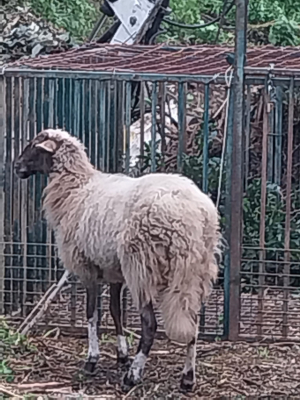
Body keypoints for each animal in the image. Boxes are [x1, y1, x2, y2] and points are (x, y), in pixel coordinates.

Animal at [14, 130, 220, 392]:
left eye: (35, 146)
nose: (16, 166)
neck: (77, 187)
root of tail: (193, 216)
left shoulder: (87, 268)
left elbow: (91, 313)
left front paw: (92, 360)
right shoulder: (114, 272)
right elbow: (115, 311)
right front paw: (122, 354)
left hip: (142, 267)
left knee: (150, 326)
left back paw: (133, 376)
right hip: (194, 272)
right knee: (192, 323)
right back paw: (187, 377)